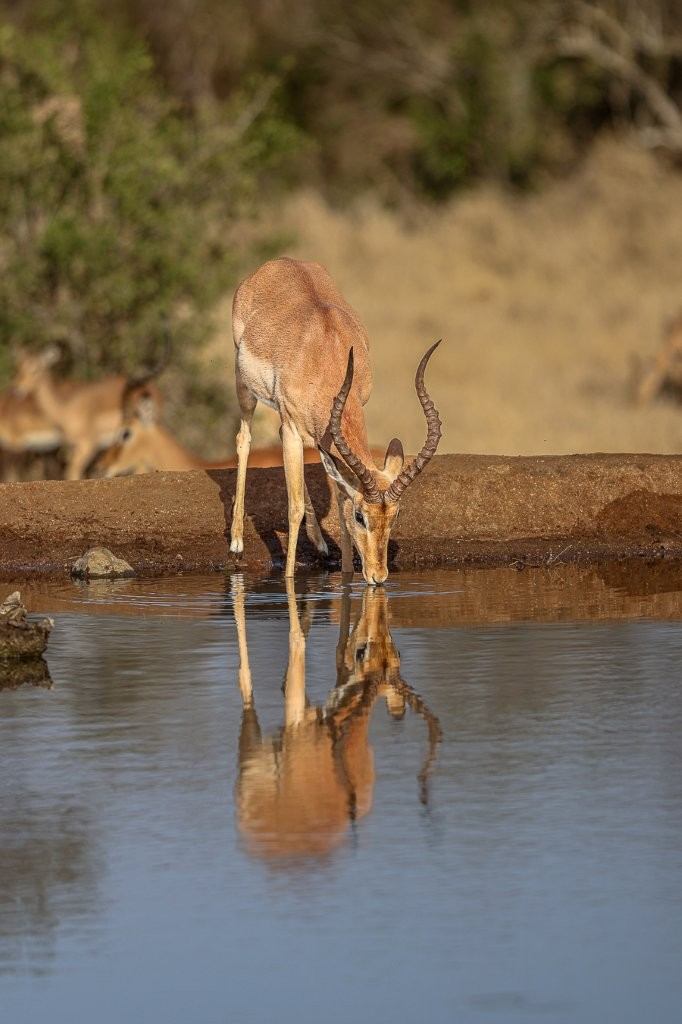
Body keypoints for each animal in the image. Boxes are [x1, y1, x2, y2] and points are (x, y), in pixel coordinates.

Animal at [13, 347, 163, 480]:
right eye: (20, 368)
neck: (65, 409)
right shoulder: (74, 447)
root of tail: (153, 387)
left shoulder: (88, 445)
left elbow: (72, 472)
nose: (18, 389)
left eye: (35, 370)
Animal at [229, 257, 443, 584]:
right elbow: (294, 509)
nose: (379, 577)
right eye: (361, 516)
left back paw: (320, 544)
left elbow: (339, 499)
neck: (327, 352)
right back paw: (237, 542)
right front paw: (289, 579)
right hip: (245, 386)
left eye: (396, 515)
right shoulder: (293, 428)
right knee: (244, 439)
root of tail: (278, 263)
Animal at [233, 578, 441, 863]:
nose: (377, 582)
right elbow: (297, 643)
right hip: (252, 755)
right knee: (246, 679)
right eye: (362, 652)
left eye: (397, 653)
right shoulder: (297, 715)